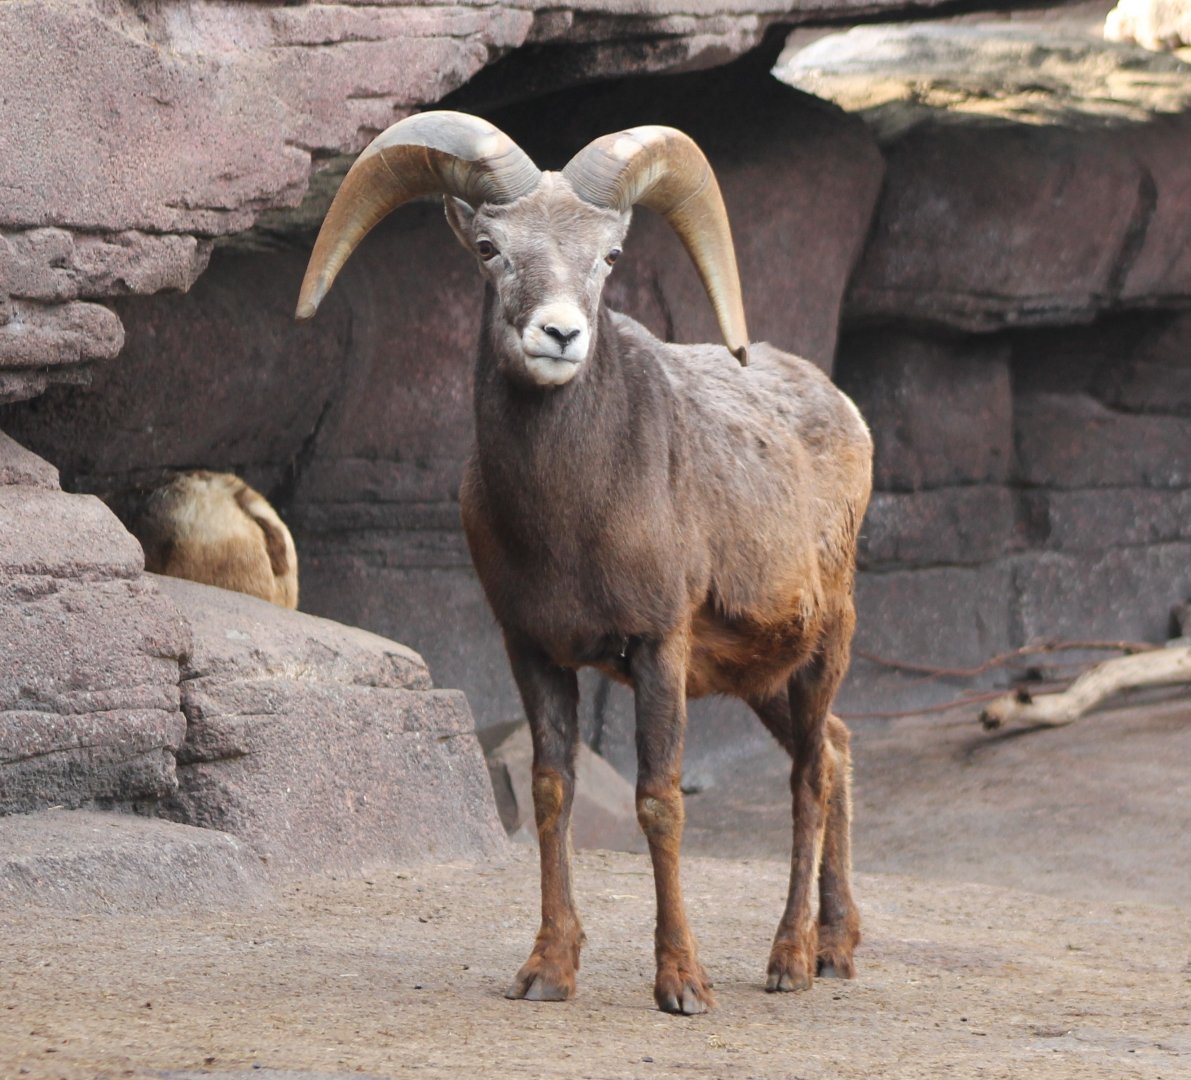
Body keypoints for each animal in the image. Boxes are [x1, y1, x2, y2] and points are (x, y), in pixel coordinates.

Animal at [296, 111, 872, 1014]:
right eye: (490, 248)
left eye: (608, 257)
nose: (559, 334)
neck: (570, 519)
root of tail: (845, 414)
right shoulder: (534, 652)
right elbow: (550, 791)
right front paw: (547, 971)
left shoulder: (660, 647)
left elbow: (658, 803)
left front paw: (682, 985)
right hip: (763, 679)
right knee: (837, 752)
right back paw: (837, 948)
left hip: (823, 648)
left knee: (811, 777)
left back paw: (790, 962)